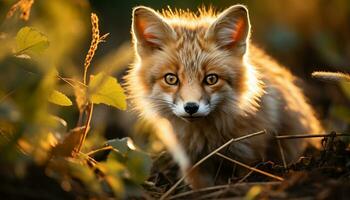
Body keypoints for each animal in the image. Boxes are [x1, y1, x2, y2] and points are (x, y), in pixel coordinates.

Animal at [124, 4, 324, 186]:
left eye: (211, 79)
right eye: (171, 79)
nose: (191, 107)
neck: (207, 140)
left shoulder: (250, 156)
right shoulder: (192, 163)